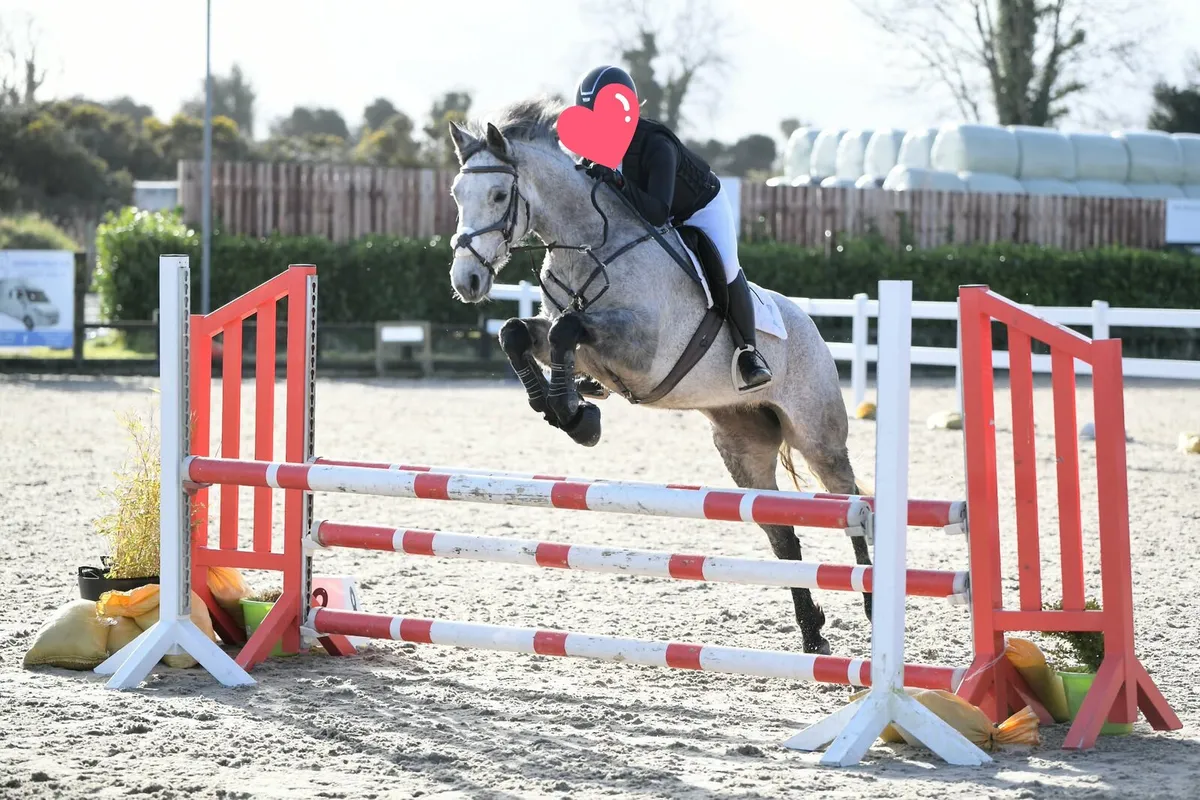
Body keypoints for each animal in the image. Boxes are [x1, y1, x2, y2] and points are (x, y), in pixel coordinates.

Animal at [443, 96, 872, 655]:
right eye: (457, 195)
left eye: (498, 194)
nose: (467, 281)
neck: (591, 245)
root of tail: (811, 326)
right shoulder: (577, 342)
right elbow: (519, 332)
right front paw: (567, 408)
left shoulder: (642, 351)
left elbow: (565, 329)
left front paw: (575, 415)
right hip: (742, 445)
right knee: (782, 534)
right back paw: (812, 633)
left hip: (816, 436)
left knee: (853, 504)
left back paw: (872, 603)